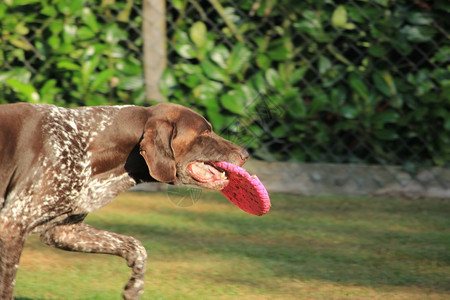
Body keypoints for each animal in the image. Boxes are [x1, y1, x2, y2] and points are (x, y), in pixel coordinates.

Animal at [0, 102, 250, 298]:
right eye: (204, 133)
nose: (245, 154)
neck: (87, 143)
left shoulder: (63, 231)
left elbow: (136, 246)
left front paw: (135, 286)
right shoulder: (12, 225)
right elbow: (7, 287)